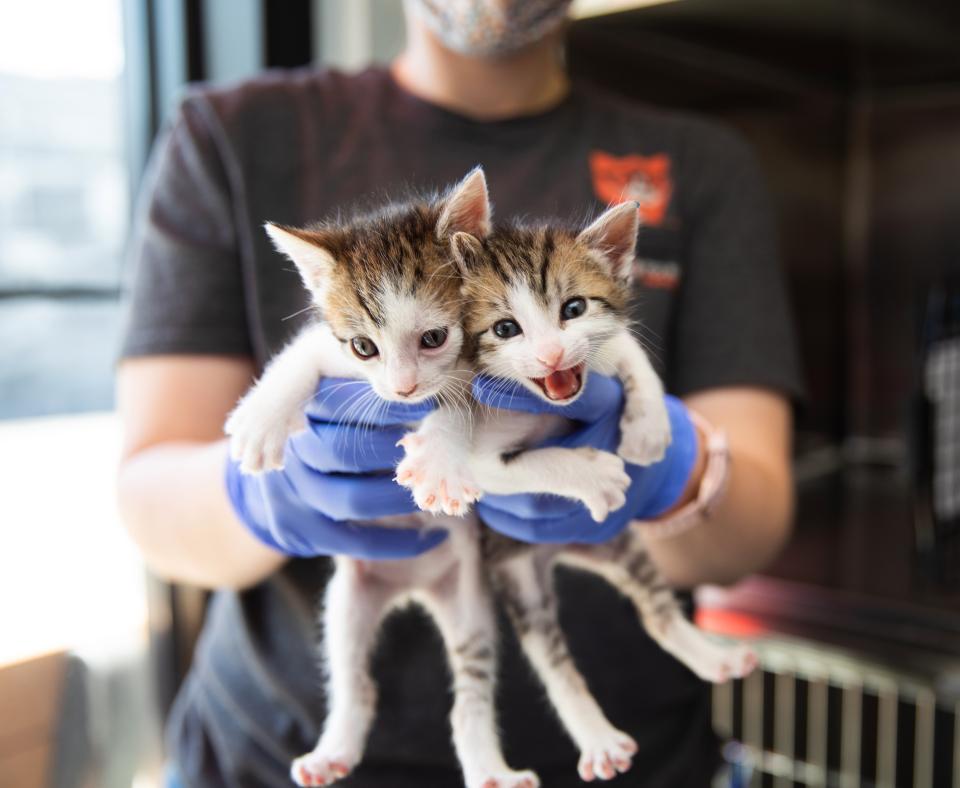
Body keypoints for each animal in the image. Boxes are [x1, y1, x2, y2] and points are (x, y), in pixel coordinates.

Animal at [224, 172, 540, 788]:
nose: (401, 389)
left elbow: (462, 407)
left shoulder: (490, 370)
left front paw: (439, 453)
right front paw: (263, 418)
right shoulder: (335, 353)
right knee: (354, 679)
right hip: (349, 599)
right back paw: (333, 748)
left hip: (467, 601)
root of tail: (412, 589)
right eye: (363, 346)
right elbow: (302, 353)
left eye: (434, 338)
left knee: (468, 695)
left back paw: (488, 766)